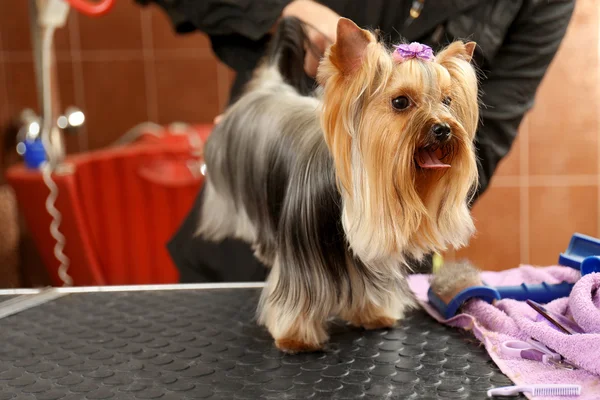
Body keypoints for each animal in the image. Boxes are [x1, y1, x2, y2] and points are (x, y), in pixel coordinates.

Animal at [197, 16, 478, 354]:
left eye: (447, 101)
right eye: (400, 102)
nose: (443, 129)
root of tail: (270, 86)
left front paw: (373, 313)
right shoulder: (301, 262)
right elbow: (297, 297)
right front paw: (295, 335)